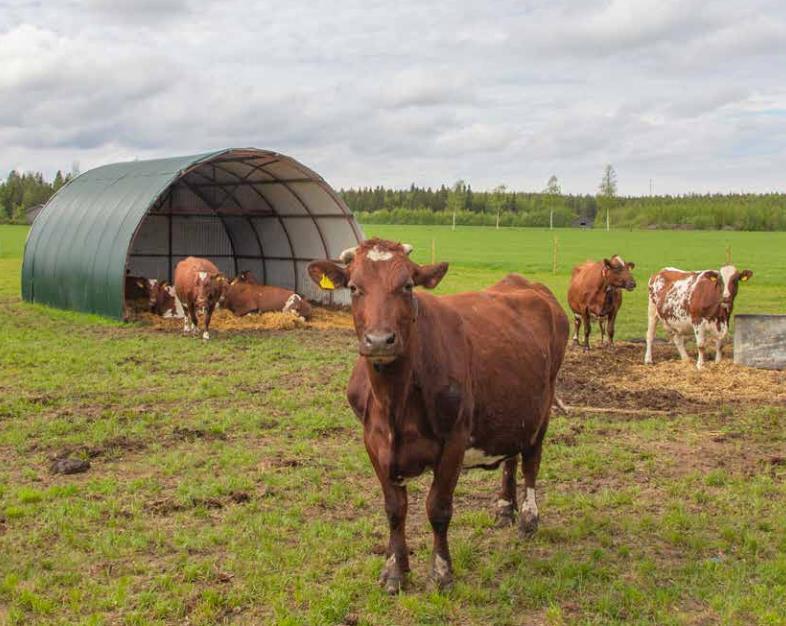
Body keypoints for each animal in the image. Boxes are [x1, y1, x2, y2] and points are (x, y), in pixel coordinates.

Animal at [304, 235, 568, 588]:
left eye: (407, 286)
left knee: (531, 462)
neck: (394, 404)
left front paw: (441, 572)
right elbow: (394, 510)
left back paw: (528, 518)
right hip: (514, 407)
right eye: (355, 287)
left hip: (543, 405)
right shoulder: (373, 442)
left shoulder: (454, 442)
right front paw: (394, 570)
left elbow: (438, 510)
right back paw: (504, 509)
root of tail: (528, 284)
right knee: (511, 458)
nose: (380, 340)